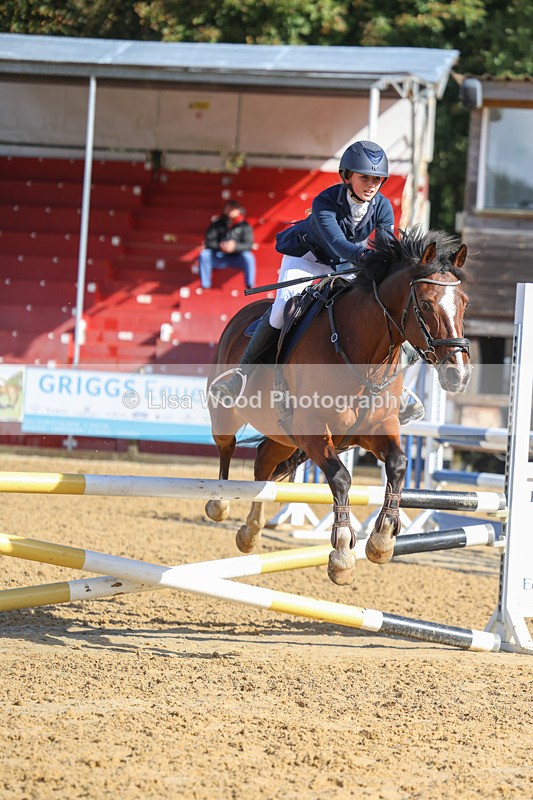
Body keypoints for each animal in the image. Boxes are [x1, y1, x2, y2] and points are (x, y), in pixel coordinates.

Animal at [205, 228, 471, 586]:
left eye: (464, 303)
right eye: (426, 303)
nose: (459, 374)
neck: (363, 353)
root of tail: (238, 318)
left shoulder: (377, 429)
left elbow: (398, 464)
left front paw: (382, 540)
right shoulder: (314, 432)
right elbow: (341, 477)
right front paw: (343, 553)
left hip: (282, 437)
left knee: (264, 468)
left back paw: (250, 533)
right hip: (227, 412)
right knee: (226, 446)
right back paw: (219, 503)